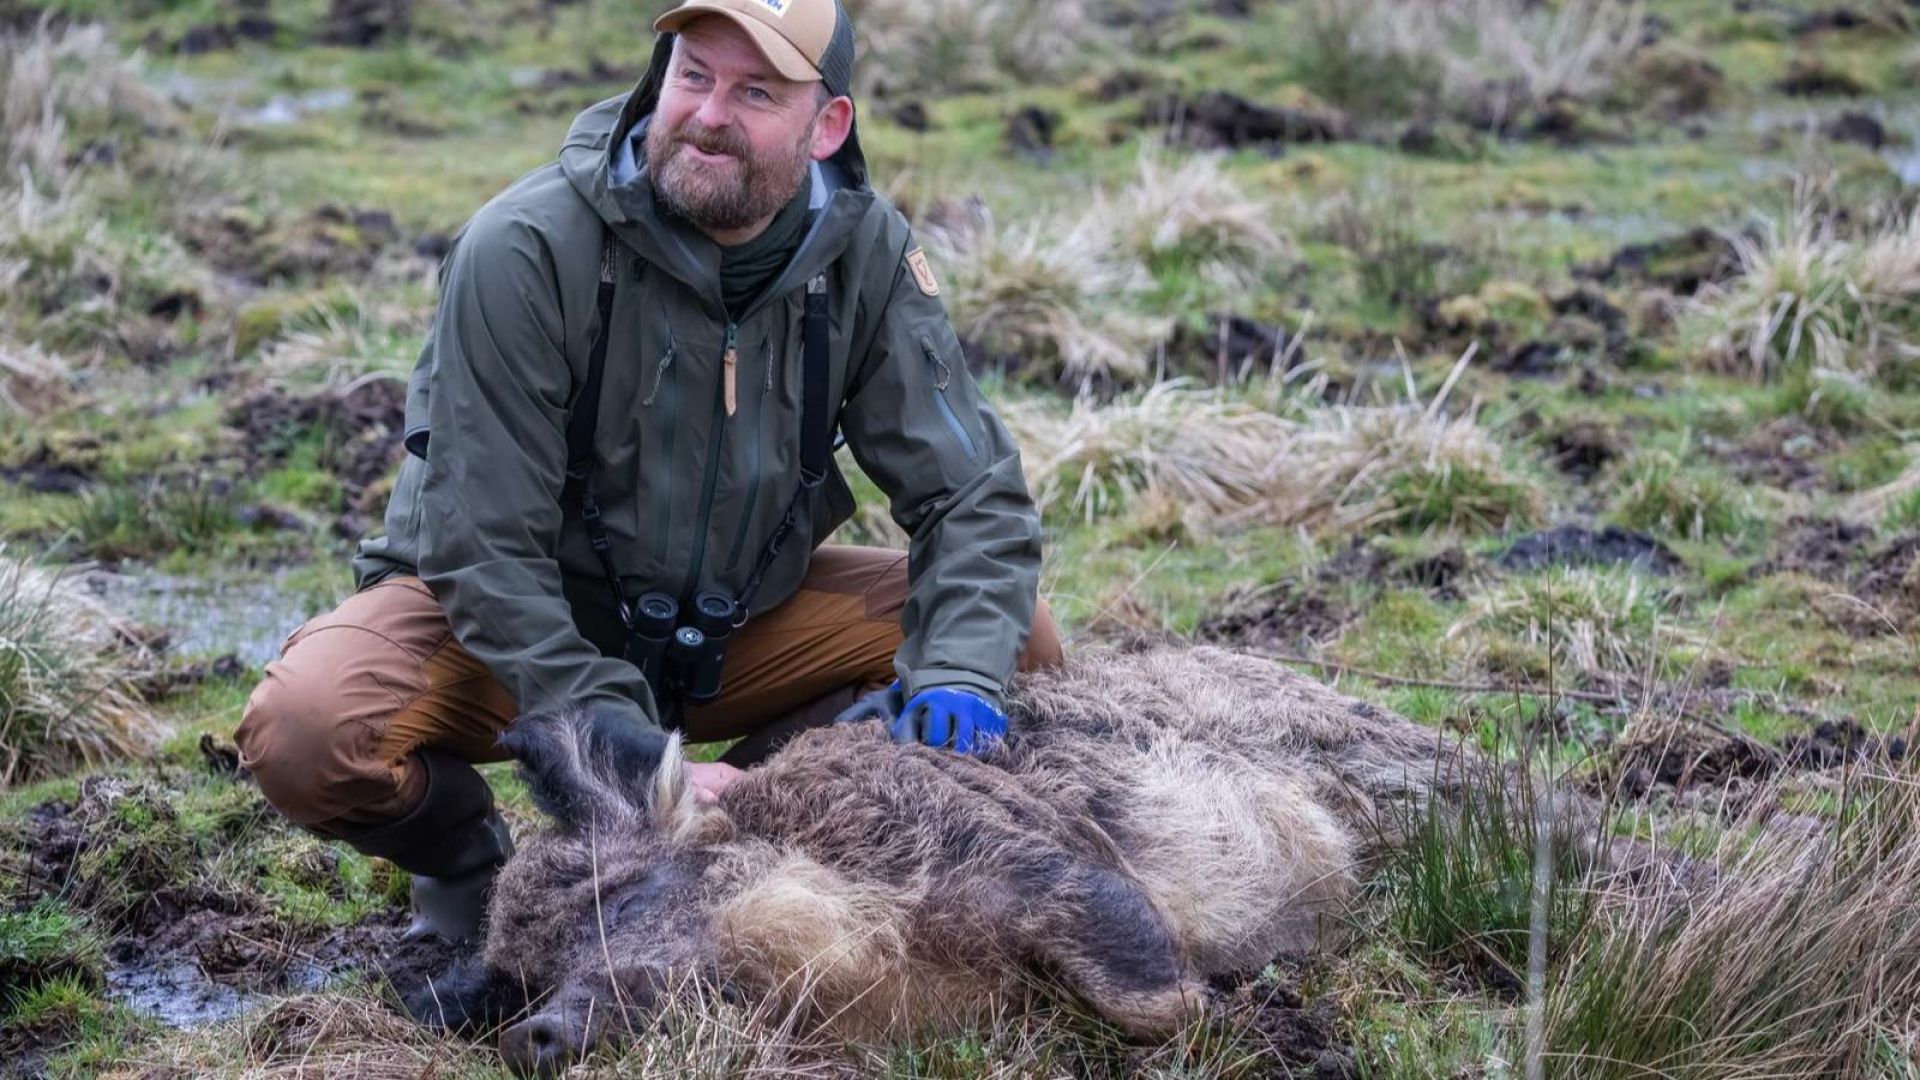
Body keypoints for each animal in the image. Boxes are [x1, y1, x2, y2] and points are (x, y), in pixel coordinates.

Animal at [420, 641, 1459, 1068]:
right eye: (528, 974)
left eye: (625, 899)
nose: (525, 1037)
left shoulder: (1022, 858)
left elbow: (1144, 982)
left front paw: (1248, 1020)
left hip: (1388, 763)